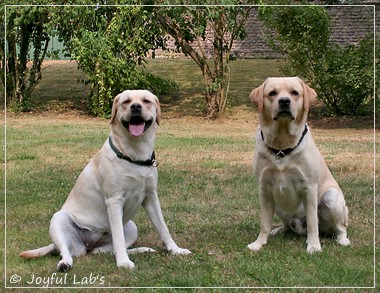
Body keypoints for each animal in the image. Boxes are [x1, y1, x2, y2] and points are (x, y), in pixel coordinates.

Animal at [246, 77, 350, 253]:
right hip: (278, 203)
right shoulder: (264, 189)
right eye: (272, 93)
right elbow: (264, 223)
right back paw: (279, 229)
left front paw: (314, 245)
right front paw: (259, 243)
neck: (282, 147)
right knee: (287, 224)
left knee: (339, 228)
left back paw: (342, 239)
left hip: (331, 198)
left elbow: (313, 223)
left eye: (294, 93)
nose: (284, 101)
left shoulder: (309, 187)